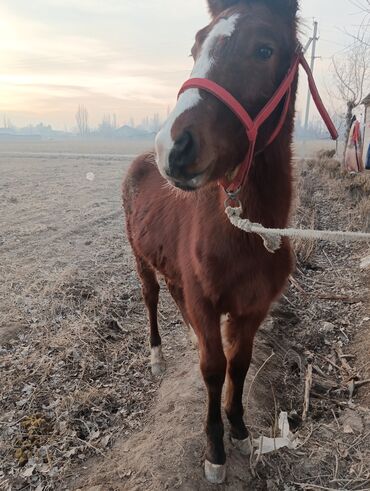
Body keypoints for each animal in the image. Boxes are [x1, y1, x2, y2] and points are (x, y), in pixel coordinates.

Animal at [125, 0, 300, 484]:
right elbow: (212, 368)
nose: (173, 148)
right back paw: (157, 356)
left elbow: (238, 363)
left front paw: (239, 429)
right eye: (195, 47)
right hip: (140, 258)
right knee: (150, 297)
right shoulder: (206, 303)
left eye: (264, 49)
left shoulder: (253, 309)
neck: (247, 236)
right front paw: (215, 450)